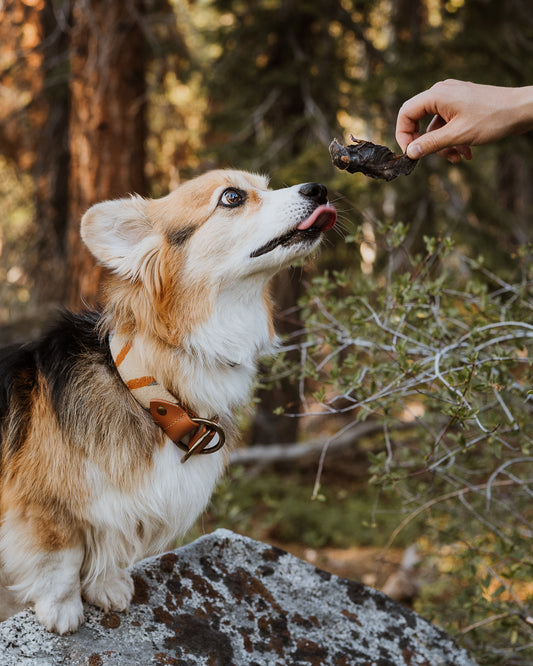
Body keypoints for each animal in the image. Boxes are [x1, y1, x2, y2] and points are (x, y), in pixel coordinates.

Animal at [0, 167, 334, 632]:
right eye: (232, 197)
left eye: (265, 186)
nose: (319, 189)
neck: (150, 388)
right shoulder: (43, 504)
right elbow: (61, 559)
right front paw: (62, 609)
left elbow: (108, 544)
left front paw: (108, 587)